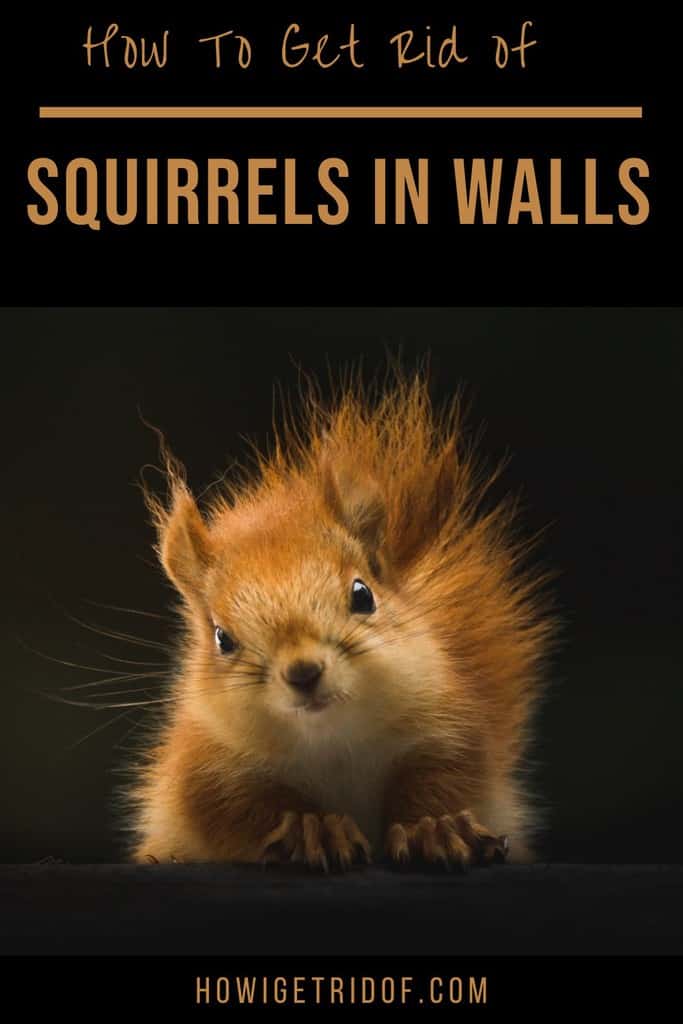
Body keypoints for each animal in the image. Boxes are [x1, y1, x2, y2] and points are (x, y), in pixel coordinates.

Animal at [128, 373, 554, 870]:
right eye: (222, 638)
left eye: (363, 595)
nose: (303, 672)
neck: (332, 741)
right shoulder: (205, 767)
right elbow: (239, 810)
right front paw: (313, 829)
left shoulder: (448, 728)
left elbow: (445, 780)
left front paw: (435, 827)